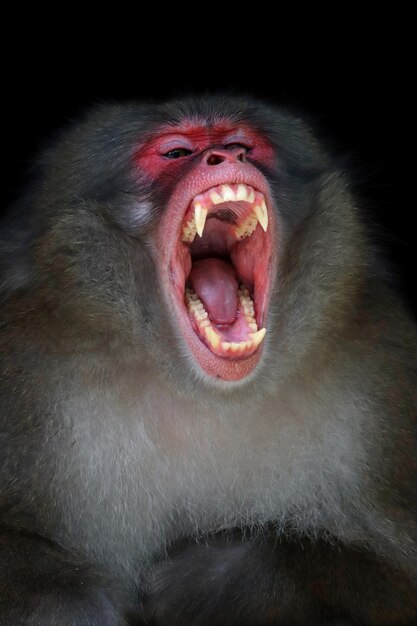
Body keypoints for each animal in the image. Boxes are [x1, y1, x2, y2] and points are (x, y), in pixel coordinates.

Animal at [0, 94, 414, 624]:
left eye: (242, 146)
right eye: (175, 153)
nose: (225, 158)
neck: (203, 390)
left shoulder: (384, 376)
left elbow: (397, 573)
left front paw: (211, 580)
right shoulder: (22, 370)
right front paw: (75, 603)